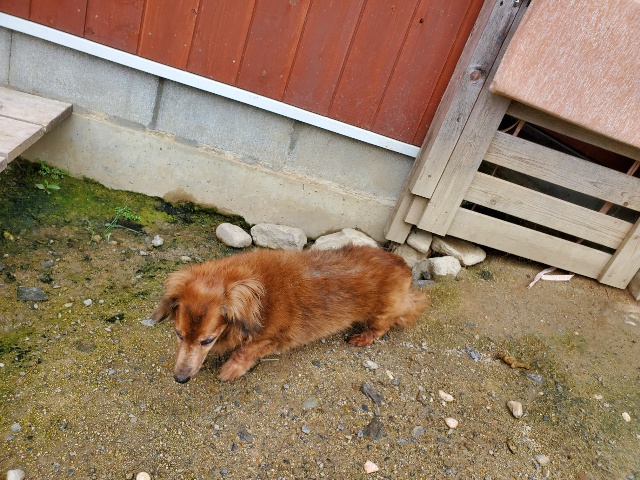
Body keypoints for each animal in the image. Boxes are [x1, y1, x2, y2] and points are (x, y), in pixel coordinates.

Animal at [152, 244, 430, 383]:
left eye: (207, 340)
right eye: (178, 335)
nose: (180, 379)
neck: (259, 295)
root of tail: (403, 265)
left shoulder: (270, 339)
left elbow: (245, 351)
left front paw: (230, 369)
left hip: (383, 311)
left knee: (385, 324)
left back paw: (364, 337)